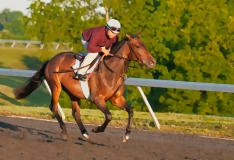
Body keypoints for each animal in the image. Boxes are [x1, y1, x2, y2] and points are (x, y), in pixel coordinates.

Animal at [12, 31, 156, 142]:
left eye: (144, 45)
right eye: (137, 46)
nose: (152, 62)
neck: (111, 71)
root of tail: (51, 59)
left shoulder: (116, 99)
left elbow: (130, 111)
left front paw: (126, 135)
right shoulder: (97, 99)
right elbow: (109, 116)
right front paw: (97, 129)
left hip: (73, 93)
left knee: (76, 114)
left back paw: (85, 134)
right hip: (55, 86)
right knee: (53, 107)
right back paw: (64, 132)